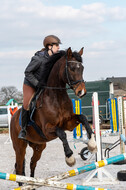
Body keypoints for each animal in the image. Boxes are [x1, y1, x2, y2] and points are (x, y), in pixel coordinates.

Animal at [10, 47, 97, 184]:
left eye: (82, 68)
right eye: (71, 68)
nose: (81, 92)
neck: (56, 97)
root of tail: (13, 117)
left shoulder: (69, 123)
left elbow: (82, 117)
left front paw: (92, 143)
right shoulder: (47, 130)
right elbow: (62, 133)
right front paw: (70, 158)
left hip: (39, 146)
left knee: (32, 163)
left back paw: (32, 183)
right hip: (19, 147)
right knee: (19, 168)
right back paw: (22, 184)